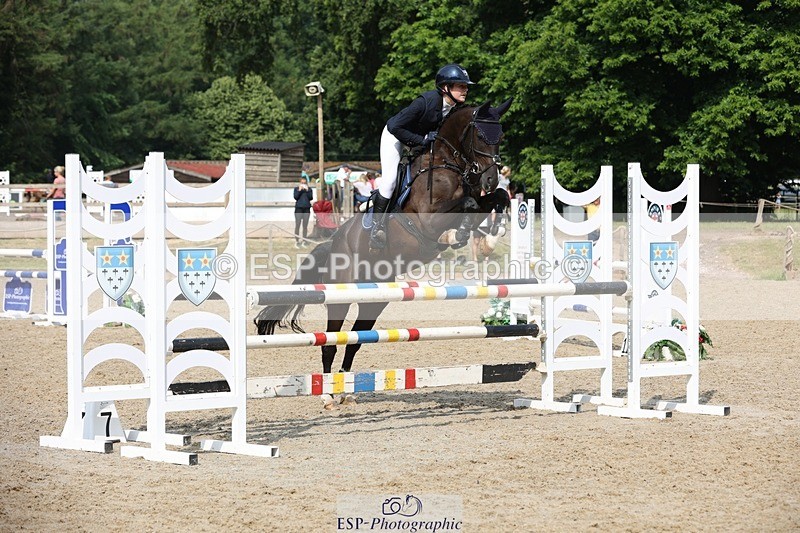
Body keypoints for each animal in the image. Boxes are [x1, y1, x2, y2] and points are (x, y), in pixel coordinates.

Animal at [254, 100, 512, 401]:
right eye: (480, 135)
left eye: (500, 136)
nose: (491, 179)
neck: (449, 163)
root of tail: (334, 244)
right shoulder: (429, 219)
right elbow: (468, 205)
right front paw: (457, 234)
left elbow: (494, 199)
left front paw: (493, 228)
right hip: (340, 297)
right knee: (331, 341)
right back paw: (328, 394)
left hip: (375, 301)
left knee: (354, 341)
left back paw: (345, 390)